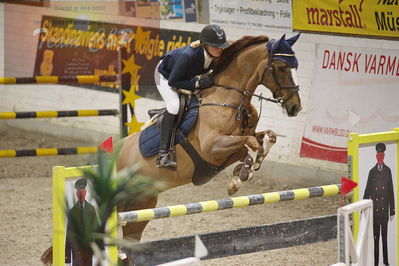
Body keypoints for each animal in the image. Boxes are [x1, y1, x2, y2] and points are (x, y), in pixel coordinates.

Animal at [117, 33, 302, 241]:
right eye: (282, 67)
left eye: (296, 66)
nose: (295, 107)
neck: (228, 100)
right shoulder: (211, 149)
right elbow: (251, 143)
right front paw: (242, 175)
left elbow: (267, 137)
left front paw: (244, 171)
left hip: (142, 204)